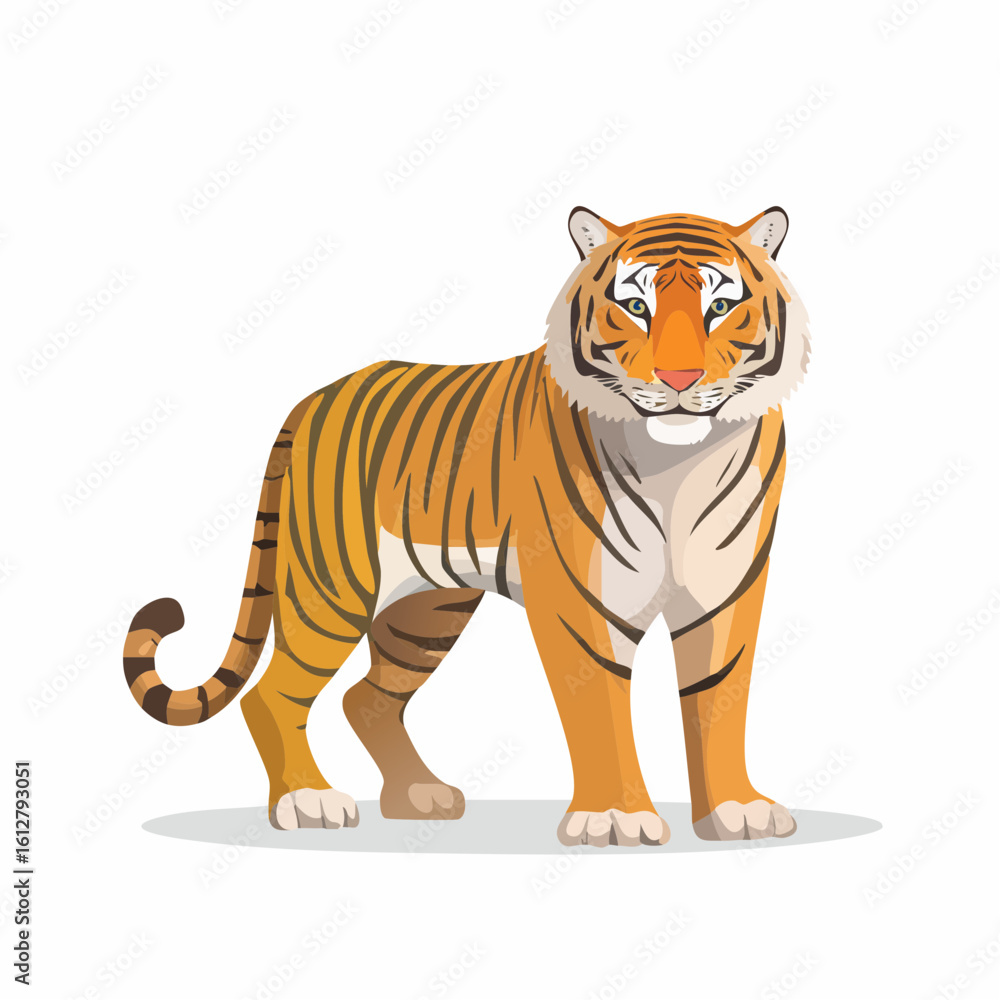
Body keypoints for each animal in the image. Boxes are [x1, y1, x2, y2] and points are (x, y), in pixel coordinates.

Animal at [123, 205, 810, 847]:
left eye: (721, 307)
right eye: (635, 307)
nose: (679, 381)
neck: (679, 463)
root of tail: (312, 399)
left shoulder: (726, 592)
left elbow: (719, 701)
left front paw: (736, 812)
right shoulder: (578, 603)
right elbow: (601, 707)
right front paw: (615, 818)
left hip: (428, 606)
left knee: (366, 697)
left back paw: (418, 795)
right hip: (333, 587)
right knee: (272, 694)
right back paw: (308, 801)